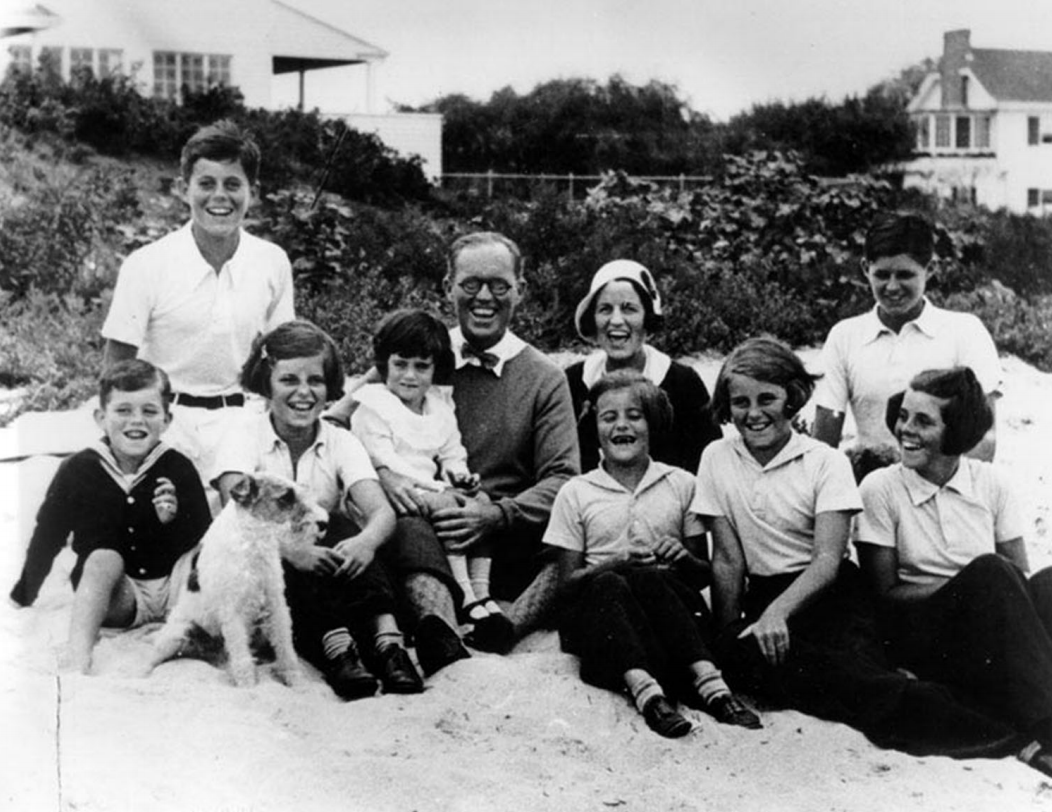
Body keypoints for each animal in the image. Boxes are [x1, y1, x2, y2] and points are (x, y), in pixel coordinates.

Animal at [149, 473, 324, 689]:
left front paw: (294, 679)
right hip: (177, 634)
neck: (253, 541)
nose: (323, 523)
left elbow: (285, 646)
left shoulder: (276, 605)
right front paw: (248, 686)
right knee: (151, 660)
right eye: (285, 497)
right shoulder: (232, 611)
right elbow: (241, 655)